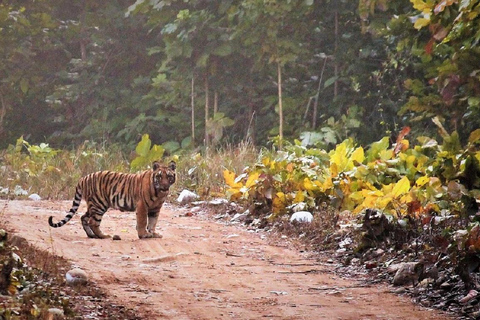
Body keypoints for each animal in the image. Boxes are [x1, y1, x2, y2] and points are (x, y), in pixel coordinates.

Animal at [48, 161, 176, 239]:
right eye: (159, 176)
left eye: (169, 176)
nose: (165, 185)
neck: (159, 193)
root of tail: (83, 178)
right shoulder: (142, 205)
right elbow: (143, 221)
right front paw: (143, 235)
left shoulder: (155, 208)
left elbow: (153, 222)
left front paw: (154, 233)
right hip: (99, 204)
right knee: (93, 222)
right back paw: (104, 236)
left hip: (93, 205)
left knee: (84, 217)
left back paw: (92, 235)